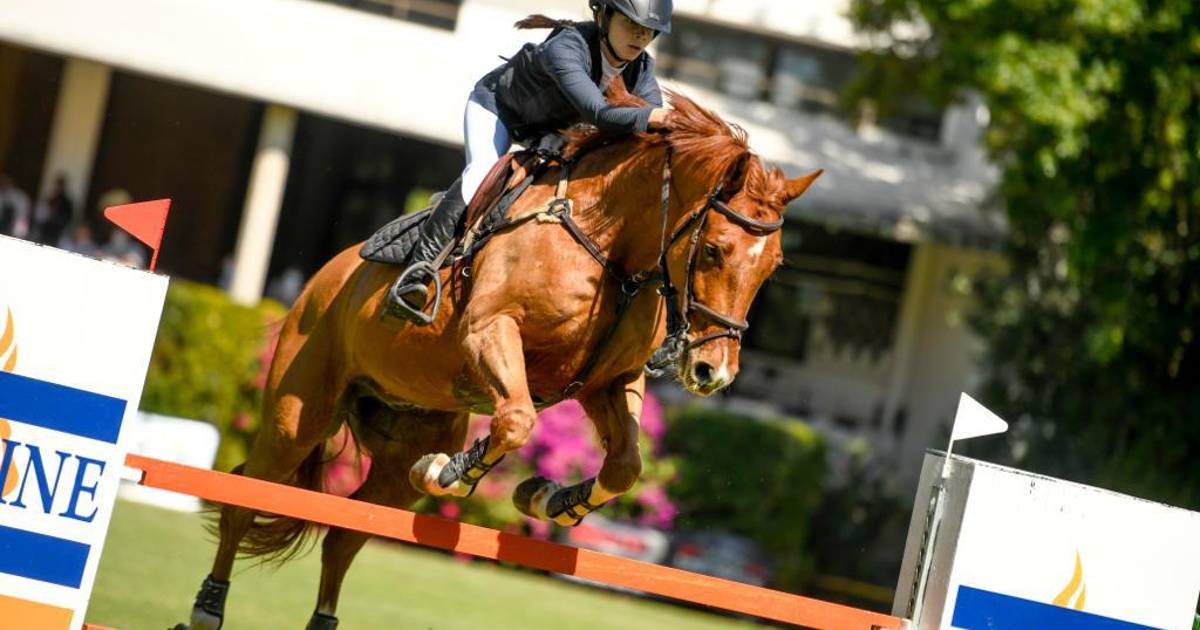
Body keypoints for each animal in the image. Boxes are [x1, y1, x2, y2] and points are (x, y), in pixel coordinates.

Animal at [179, 86, 822, 630]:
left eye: (774, 267)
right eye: (713, 250)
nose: (712, 373)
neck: (607, 242)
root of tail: (320, 280)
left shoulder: (607, 382)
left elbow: (625, 466)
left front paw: (547, 499)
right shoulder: (492, 332)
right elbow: (516, 420)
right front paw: (450, 473)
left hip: (401, 441)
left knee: (346, 534)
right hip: (296, 417)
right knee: (246, 498)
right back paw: (208, 607)